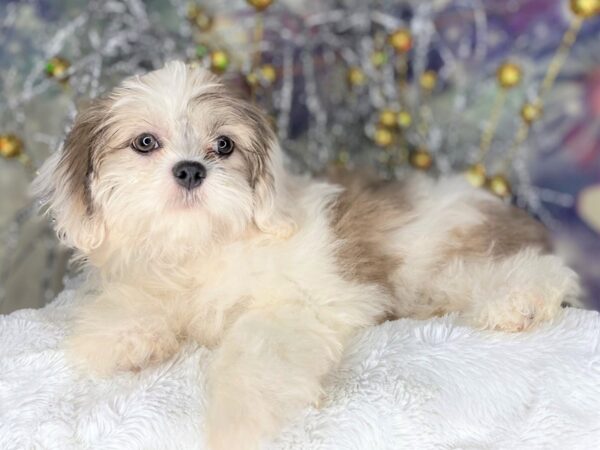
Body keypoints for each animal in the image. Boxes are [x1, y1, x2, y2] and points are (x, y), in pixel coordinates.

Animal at [31, 60, 580, 450]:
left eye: (224, 146)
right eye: (145, 142)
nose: (190, 170)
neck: (204, 246)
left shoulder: (293, 307)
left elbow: (256, 350)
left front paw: (241, 421)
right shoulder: (148, 279)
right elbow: (129, 304)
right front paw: (121, 339)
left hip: (449, 258)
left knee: (537, 272)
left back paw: (517, 303)